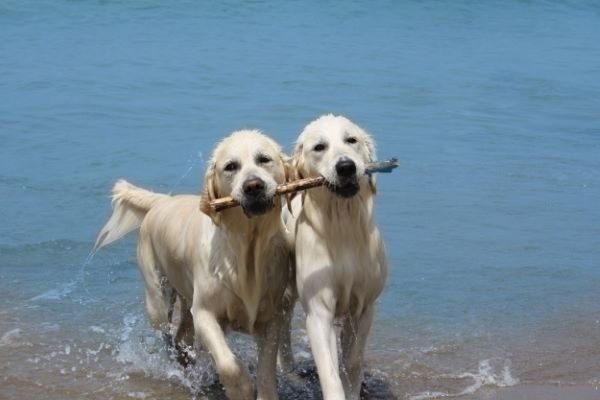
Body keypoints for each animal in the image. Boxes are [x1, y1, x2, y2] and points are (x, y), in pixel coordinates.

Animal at [95, 131, 292, 400]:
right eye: (231, 166)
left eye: (264, 159)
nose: (253, 186)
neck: (245, 247)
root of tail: (162, 201)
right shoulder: (204, 313)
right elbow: (228, 364)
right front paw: (240, 389)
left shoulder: (271, 316)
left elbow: (266, 368)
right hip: (158, 298)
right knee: (166, 331)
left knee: (181, 337)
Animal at [286, 114, 390, 398]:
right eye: (319, 147)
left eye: (351, 140)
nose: (346, 167)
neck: (342, 227)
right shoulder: (319, 309)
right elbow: (329, 369)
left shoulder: (365, 306)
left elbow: (353, 360)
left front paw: (353, 387)